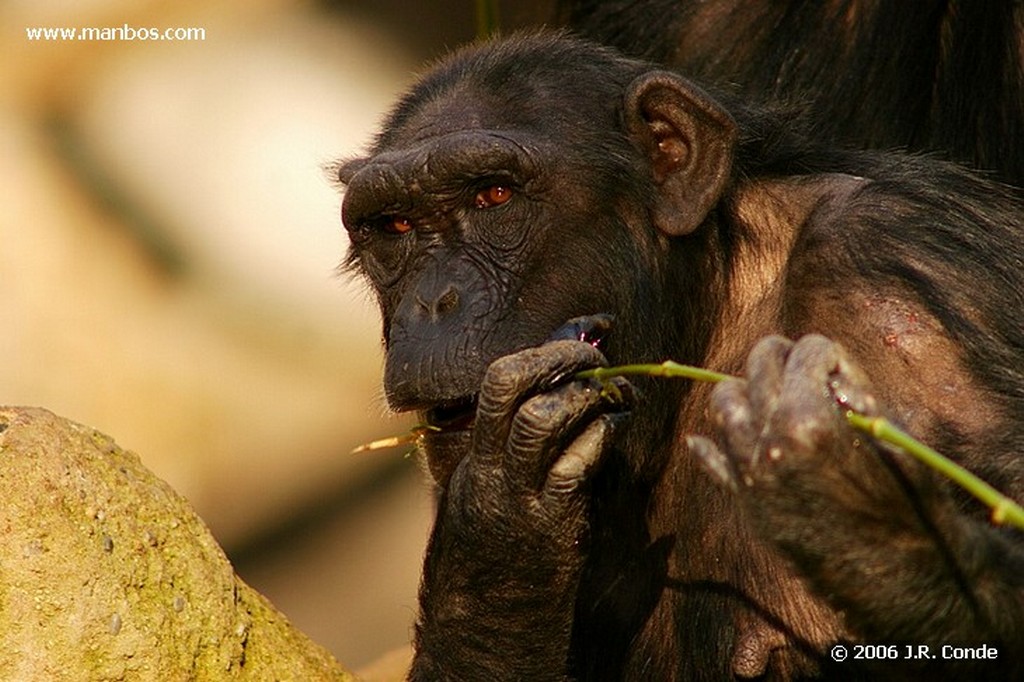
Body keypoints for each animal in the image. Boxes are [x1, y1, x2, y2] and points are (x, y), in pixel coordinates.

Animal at [337, 30, 1024, 675]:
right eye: (394, 227)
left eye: (494, 196)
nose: (434, 301)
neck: (708, 313)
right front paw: (499, 518)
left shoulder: (906, 289)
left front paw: (855, 505)